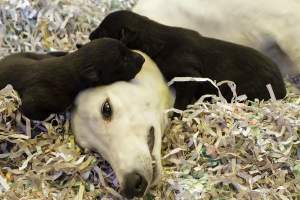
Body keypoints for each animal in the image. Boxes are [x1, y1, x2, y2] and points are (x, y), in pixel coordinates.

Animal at [89, 10, 286, 109]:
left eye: (103, 31)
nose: (90, 36)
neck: (155, 38)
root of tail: (284, 89)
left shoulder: (189, 75)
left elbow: (183, 98)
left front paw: (176, 113)